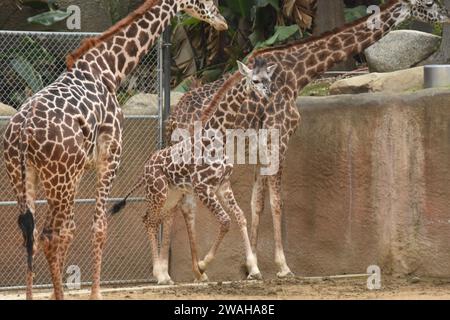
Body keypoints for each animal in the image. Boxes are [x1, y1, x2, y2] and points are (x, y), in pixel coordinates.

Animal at [3, 0, 227, 300]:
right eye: (209, 3)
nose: (223, 22)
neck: (108, 70)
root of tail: (23, 131)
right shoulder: (110, 157)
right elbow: (99, 226)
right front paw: (95, 294)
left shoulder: (81, 170)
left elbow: (71, 229)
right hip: (58, 178)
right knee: (48, 234)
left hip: (26, 176)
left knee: (32, 234)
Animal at [110, 58, 276, 284]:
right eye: (255, 80)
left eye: (269, 79)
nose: (268, 94)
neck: (219, 136)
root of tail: (144, 171)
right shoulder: (203, 188)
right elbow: (225, 221)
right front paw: (203, 265)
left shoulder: (222, 185)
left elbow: (240, 216)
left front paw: (254, 269)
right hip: (158, 193)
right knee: (150, 221)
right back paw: (160, 276)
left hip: (171, 195)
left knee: (152, 219)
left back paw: (165, 274)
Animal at [165, 0, 450, 278]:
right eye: (428, 3)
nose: (446, 16)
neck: (299, 72)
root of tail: (172, 120)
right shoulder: (279, 137)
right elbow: (277, 201)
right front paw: (282, 266)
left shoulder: (261, 149)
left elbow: (257, 203)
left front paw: (252, 267)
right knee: (185, 205)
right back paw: (184, 272)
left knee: (180, 203)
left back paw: (188, 272)